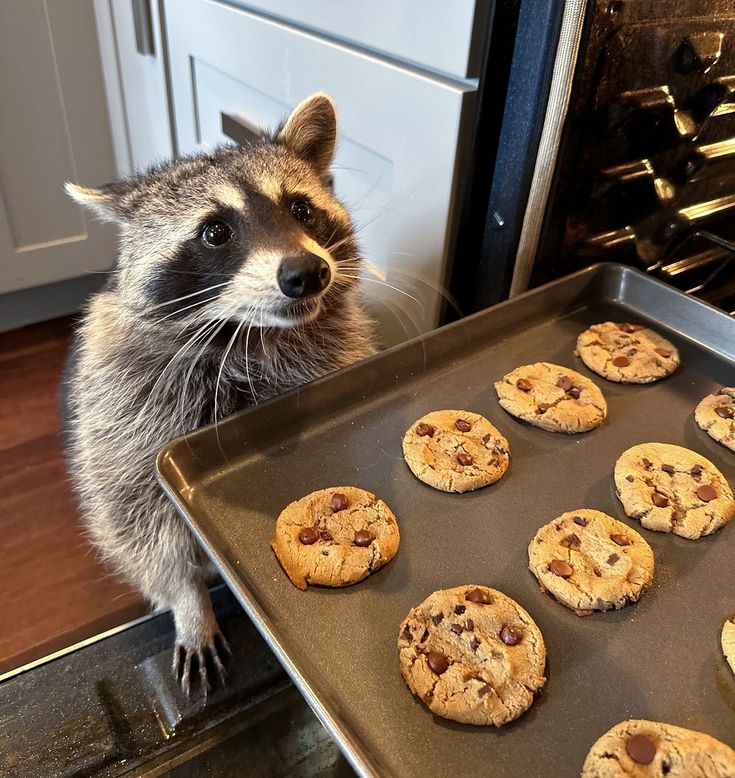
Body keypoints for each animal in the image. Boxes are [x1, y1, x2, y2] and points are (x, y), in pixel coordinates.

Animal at [63, 94, 376, 694]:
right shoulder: (122, 409)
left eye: (301, 209)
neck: (249, 336)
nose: (307, 273)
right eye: (214, 232)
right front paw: (188, 603)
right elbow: (139, 519)